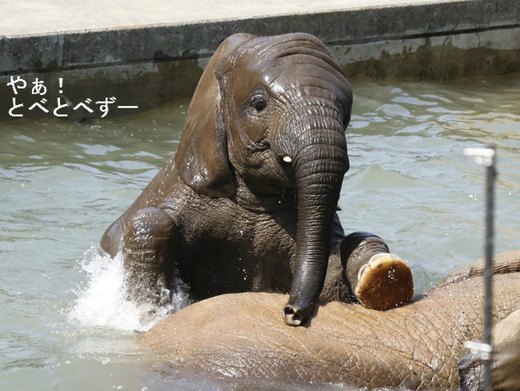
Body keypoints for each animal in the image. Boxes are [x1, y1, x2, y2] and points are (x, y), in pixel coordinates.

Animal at [99, 32, 412, 326]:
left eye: (346, 115)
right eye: (258, 104)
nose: (292, 313)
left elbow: (336, 269)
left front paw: (384, 274)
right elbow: (151, 223)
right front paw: (147, 314)